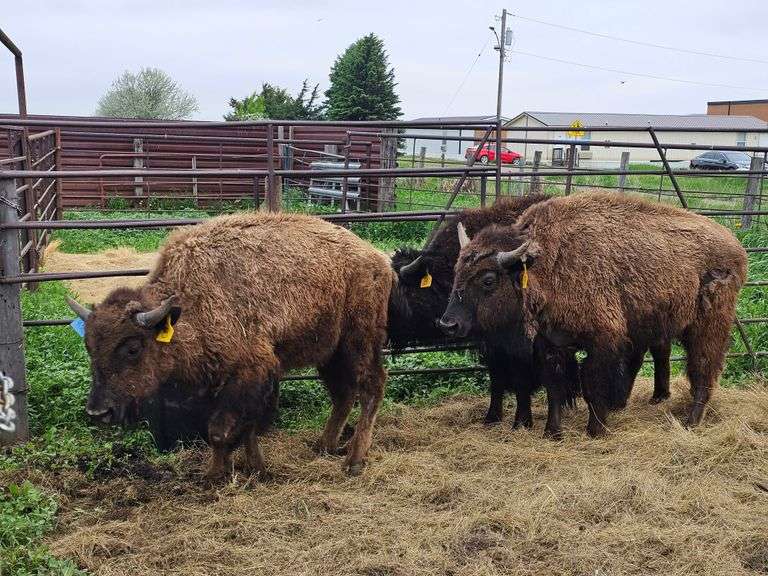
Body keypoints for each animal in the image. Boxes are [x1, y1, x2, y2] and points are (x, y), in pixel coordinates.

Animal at [68, 212, 394, 480]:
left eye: (133, 348)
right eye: (89, 346)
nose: (98, 412)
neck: (187, 305)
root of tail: (378, 260)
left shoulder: (249, 373)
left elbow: (219, 430)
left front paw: (216, 475)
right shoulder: (233, 380)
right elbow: (240, 427)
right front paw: (253, 468)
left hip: (359, 342)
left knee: (371, 387)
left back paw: (354, 461)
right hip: (329, 352)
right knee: (343, 393)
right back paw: (323, 445)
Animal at [388, 194, 670, 432]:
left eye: (403, 288)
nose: (447, 325)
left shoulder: (522, 346)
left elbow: (522, 381)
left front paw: (521, 422)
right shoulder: (495, 346)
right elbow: (497, 380)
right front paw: (492, 417)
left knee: (655, 350)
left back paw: (653, 396)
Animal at [441, 192, 747, 437]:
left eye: (488, 279)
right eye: (456, 270)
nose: (448, 324)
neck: (544, 263)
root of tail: (736, 246)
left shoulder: (603, 341)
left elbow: (591, 384)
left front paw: (596, 430)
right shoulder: (551, 343)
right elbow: (555, 387)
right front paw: (552, 432)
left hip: (708, 327)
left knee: (703, 370)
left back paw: (690, 422)